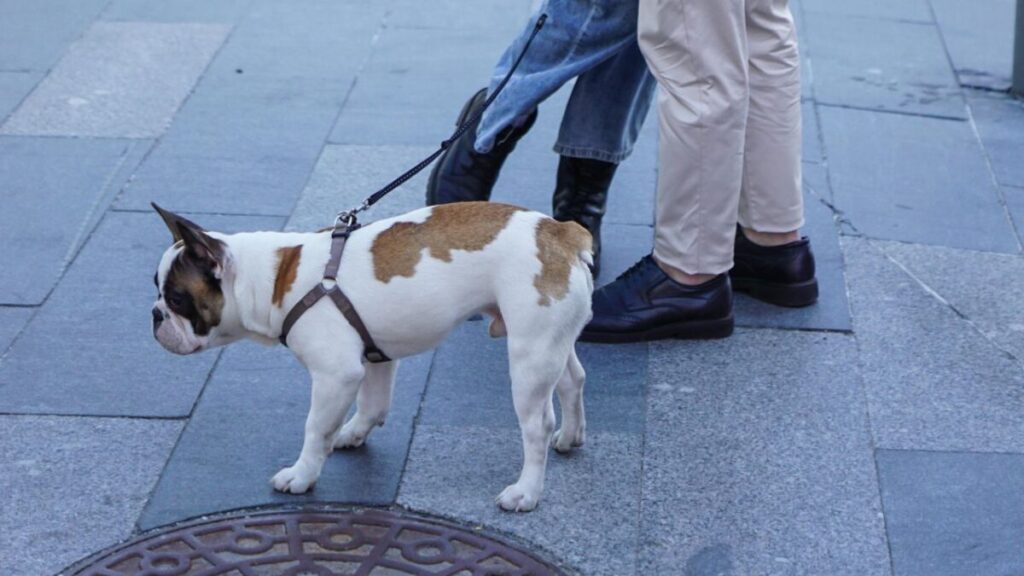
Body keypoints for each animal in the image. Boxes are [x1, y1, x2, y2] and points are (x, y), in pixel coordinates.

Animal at [151, 199, 593, 508]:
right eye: (157, 289)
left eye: (177, 299)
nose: (154, 315)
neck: (275, 278)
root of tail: (560, 232)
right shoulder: (376, 357)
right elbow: (373, 404)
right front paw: (352, 433)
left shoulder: (334, 376)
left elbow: (315, 428)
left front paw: (302, 474)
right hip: (552, 341)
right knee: (573, 380)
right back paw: (570, 436)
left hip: (529, 355)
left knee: (536, 425)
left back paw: (526, 492)